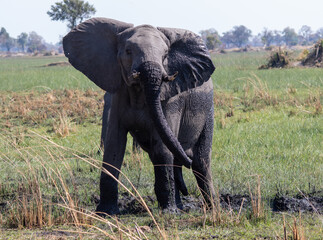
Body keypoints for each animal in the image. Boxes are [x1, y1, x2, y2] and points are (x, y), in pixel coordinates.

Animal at [62, 17, 215, 215]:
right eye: (128, 51)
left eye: (165, 55)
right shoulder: (118, 94)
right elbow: (114, 146)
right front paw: (105, 212)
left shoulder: (171, 99)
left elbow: (162, 149)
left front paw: (168, 213)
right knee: (177, 159)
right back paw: (181, 205)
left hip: (208, 111)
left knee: (200, 163)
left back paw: (212, 208)